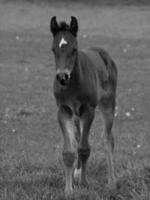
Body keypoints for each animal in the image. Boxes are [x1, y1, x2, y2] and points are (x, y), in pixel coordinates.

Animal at [50, 16, 117, 195]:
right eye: (53, 50)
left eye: (74, 49)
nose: (62, 77)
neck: (73, 85)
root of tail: (103, 52)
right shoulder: (64, 110)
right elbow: (69, 151)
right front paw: (68, 189)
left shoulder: (88, 110)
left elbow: (84, 149)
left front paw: (84, 182)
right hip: (76, 115)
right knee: (79, 136)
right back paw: (77, 172)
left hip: (108, 104)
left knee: (108, 138)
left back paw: (111, 181)